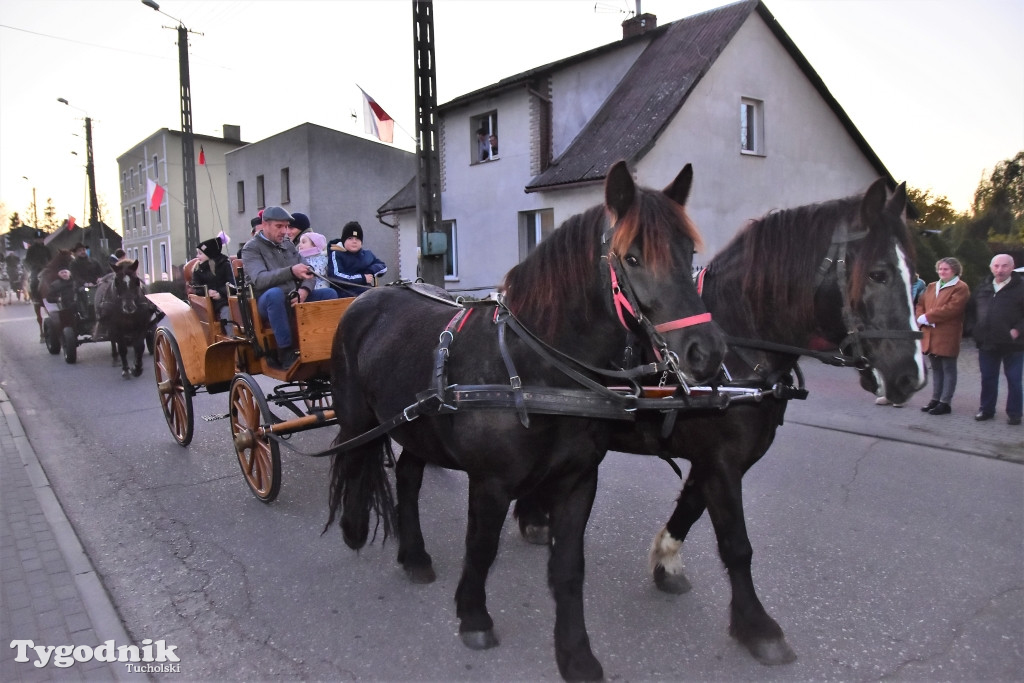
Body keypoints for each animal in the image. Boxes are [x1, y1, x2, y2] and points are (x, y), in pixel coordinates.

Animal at [327, 161, 729, 679]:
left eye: (688, 251)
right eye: (633, 257)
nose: (707, 351)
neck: (536, 368)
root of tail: (365, 300)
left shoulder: (578, 481)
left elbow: (569, 569)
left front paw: (575, 653)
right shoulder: (491, 482)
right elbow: (481, 548)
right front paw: (474, 617)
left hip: (418, 426)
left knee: (410, 477)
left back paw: (414, 555)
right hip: (358, 415)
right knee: (354, 457)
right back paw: (354, 525)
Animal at [516, 178, 925, 667]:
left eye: (915, 275)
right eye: (879, 274)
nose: (911, 376)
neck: (739, 350)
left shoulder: (716, 459)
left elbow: (690, 509)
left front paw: (666, 561)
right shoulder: (723, 460)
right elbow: (736, 543)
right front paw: (757, 625)